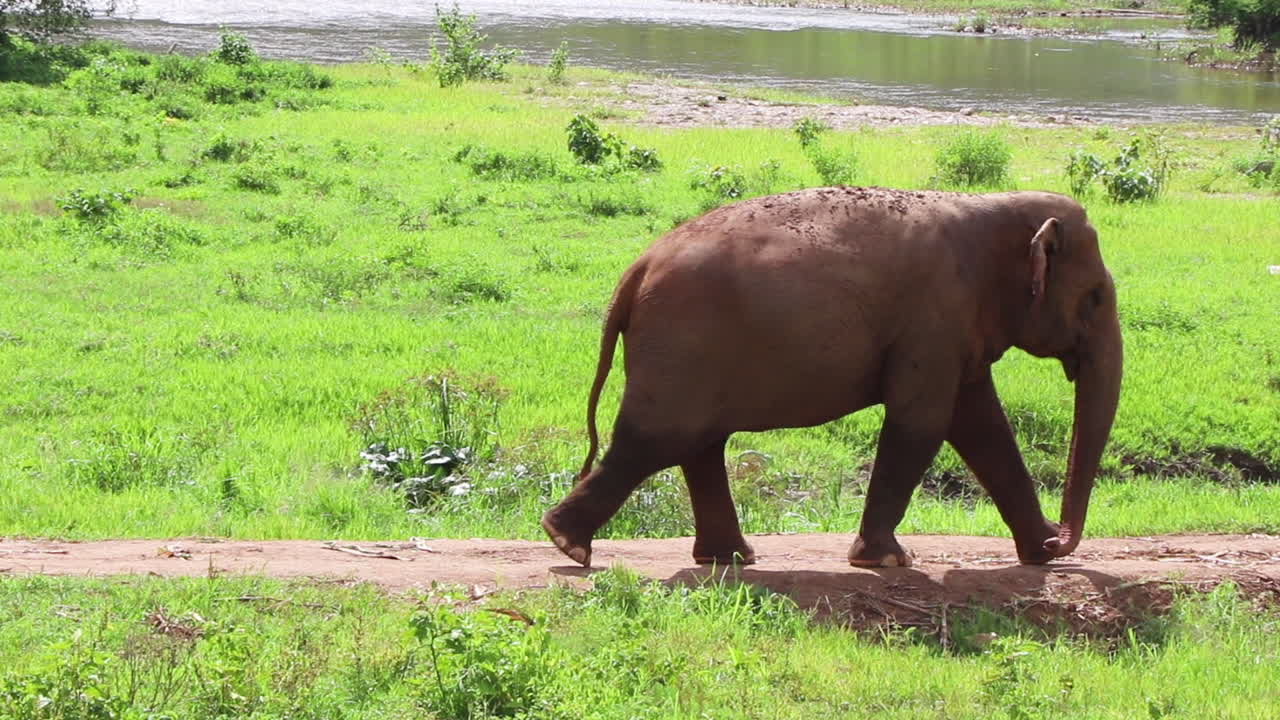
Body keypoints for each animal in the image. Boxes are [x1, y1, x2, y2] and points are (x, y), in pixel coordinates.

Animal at [541, 186, 1122, 569]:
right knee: (656, 439)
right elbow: (924, 422)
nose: (1060, 540)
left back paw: (730, 559)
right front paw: (886, 563)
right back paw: (568, 544)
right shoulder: (933, 319)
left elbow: (981, 425)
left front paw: (1038, 555)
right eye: (1096, 297)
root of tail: (634, 270)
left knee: (697, 444)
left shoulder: (956, 330)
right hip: (683, 345)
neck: (991, 207)